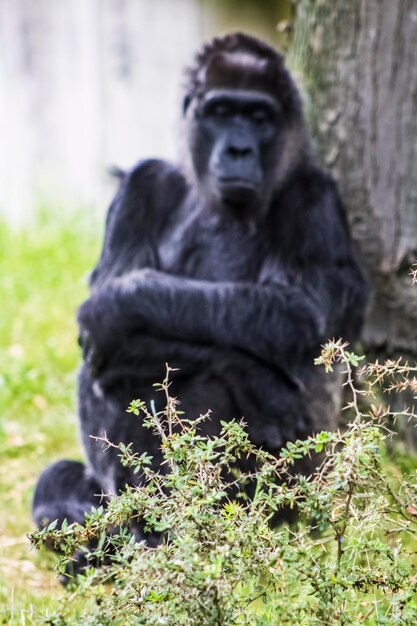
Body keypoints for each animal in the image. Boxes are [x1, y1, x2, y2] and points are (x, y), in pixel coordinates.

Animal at [33, 33, 368, 532]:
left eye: (259, 118)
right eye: (222, 112)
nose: (239, 151)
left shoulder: (316, 196)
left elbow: (297, 312)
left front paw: (121, 305)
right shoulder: (141, 183)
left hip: (306, 486)